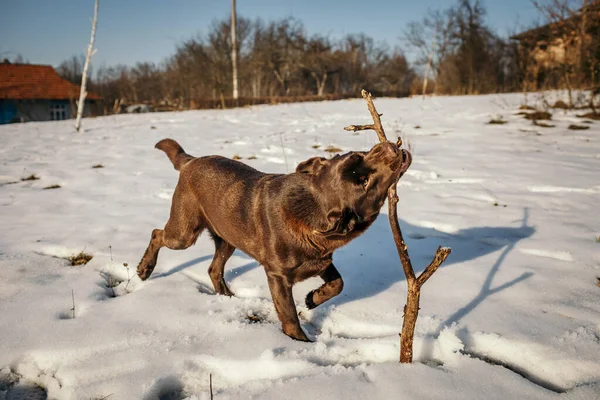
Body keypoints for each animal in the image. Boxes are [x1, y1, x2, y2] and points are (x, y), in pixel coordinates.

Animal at [137, 138, 410, 340]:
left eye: (359, 157)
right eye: (363, 181)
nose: (387, 146)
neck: (310, 210)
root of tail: (191, 160)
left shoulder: (321, 260)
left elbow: (338, 283)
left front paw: (312, 299)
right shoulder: (278, 276)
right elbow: (289, 315)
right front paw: (300, 343)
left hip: (228, 238)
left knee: (214, 268)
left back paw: (227, 298)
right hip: (184, 232)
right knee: (157, 234)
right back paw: (144, 269)